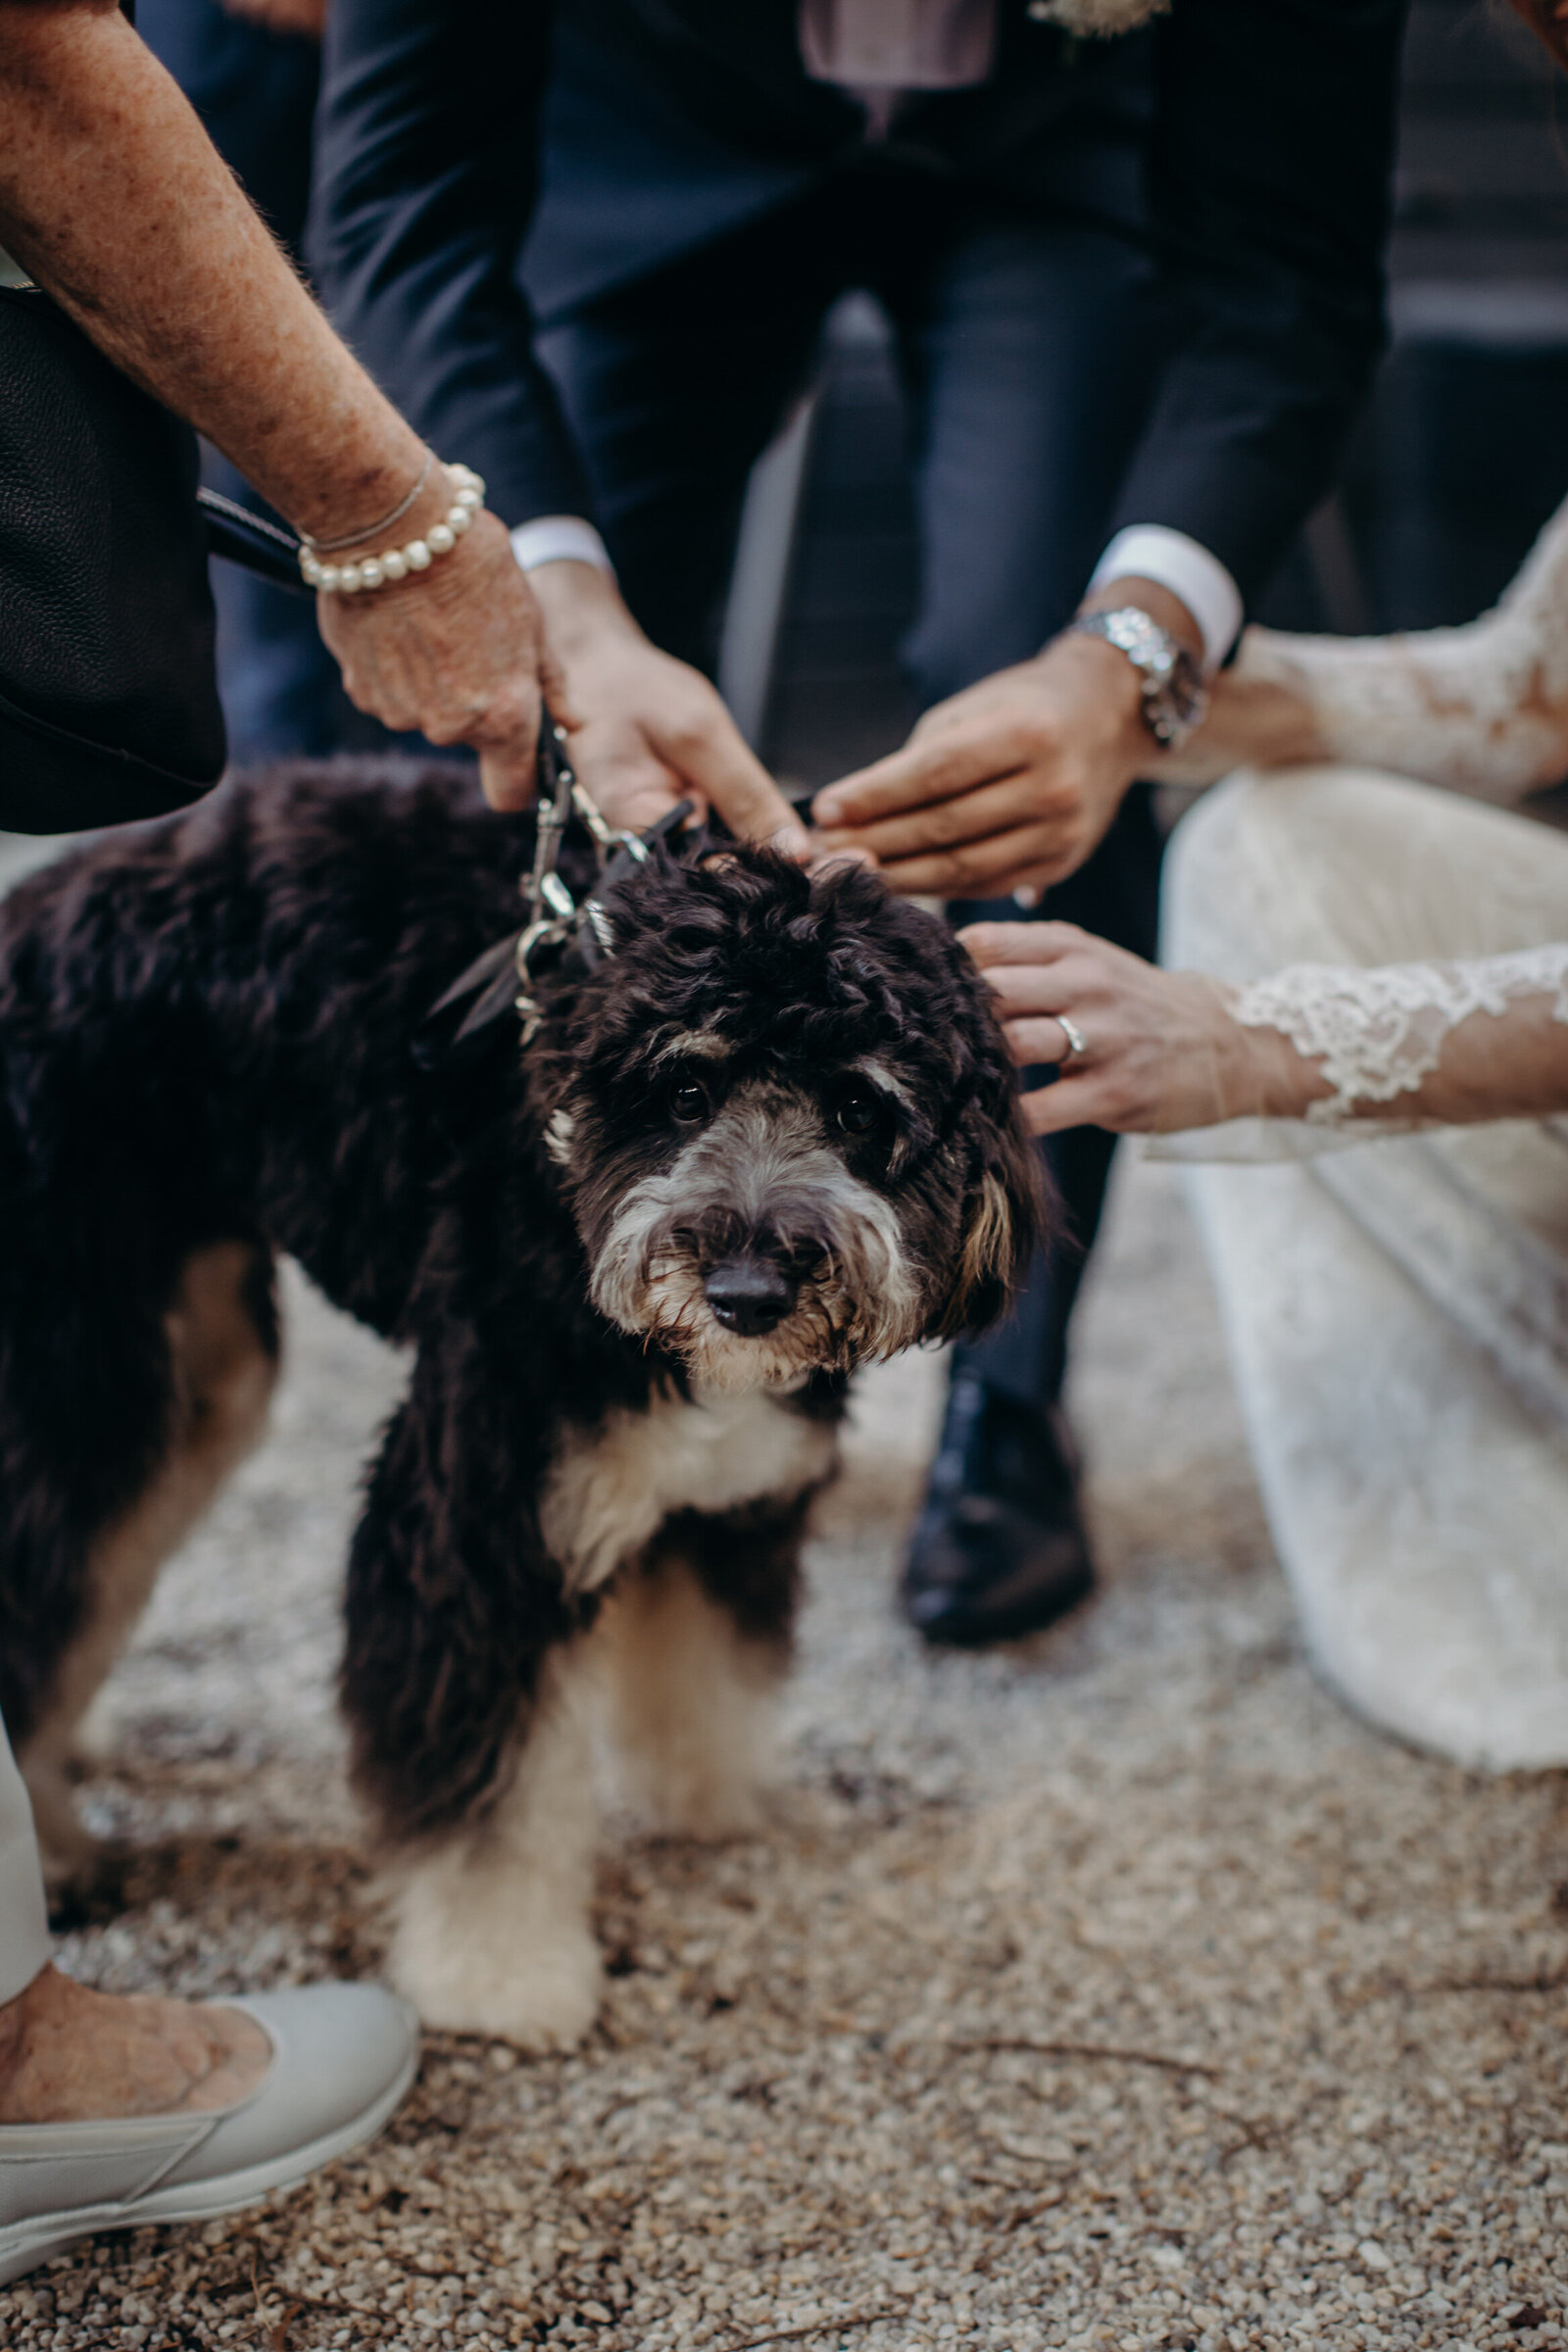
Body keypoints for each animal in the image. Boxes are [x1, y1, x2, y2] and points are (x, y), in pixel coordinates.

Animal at [0, 766, 1044, 2041]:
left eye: (857, 1109)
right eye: (684, 1088)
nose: (745, 1295)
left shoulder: (730, 1492)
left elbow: (707, 1670)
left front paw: (712, 1804)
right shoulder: (479, 1516)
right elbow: (490, 1792)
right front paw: (499, 1977)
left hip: (198, 1367)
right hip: (83, 1377)